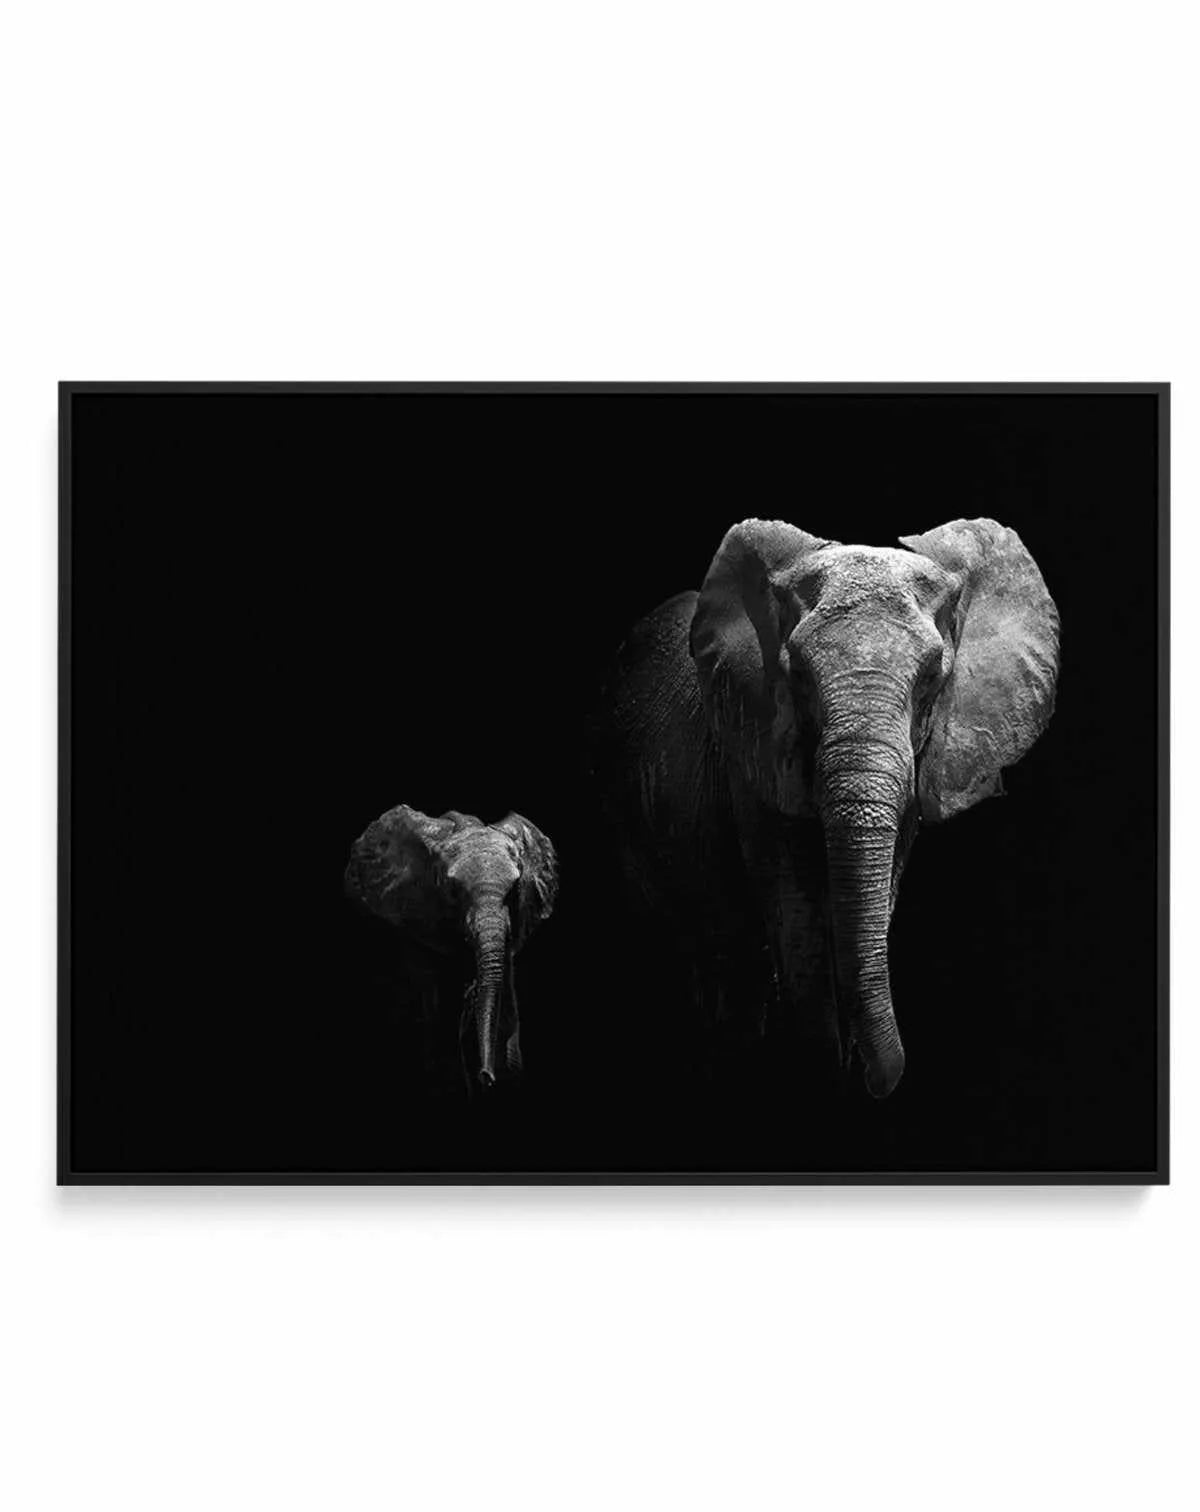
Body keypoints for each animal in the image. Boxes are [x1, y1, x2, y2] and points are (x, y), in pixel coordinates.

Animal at [590, 517, 1060, 1099]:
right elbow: (796, 911)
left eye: (932, 677)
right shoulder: (754, 752)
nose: (880, 1080)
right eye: (798, 676)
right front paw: (824, 1074)